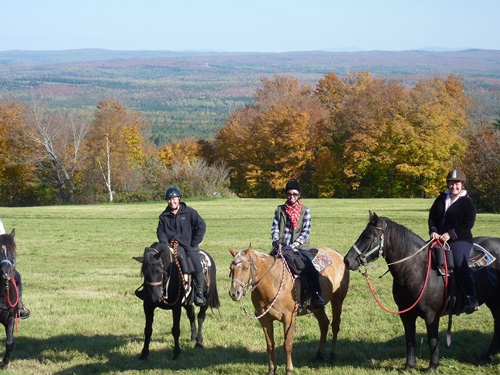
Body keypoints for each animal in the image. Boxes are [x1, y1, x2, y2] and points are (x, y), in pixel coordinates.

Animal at [229, 244, 350, 375]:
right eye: (231, 268)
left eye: (246, 268)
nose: (234, 293)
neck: (273, 282)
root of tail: (338, 254)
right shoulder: (265, 320)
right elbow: (270, 344)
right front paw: (271, 370)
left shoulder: (289, 318)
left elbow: (287, 344)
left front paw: (289, 370)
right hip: (317, 308)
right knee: (324, 324)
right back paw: (320, 355)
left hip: (337, 300)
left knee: (335, 325)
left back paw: (333, 354)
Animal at [344, 212, 500, 374]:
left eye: (368, 236)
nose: (347, 261)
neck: (418, 269)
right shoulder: (405, 314)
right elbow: (410, 340)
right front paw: (409, 366)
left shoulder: (431, 315)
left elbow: (432, 340)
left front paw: (432, 366)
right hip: (493, 301)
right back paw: (488, 355)